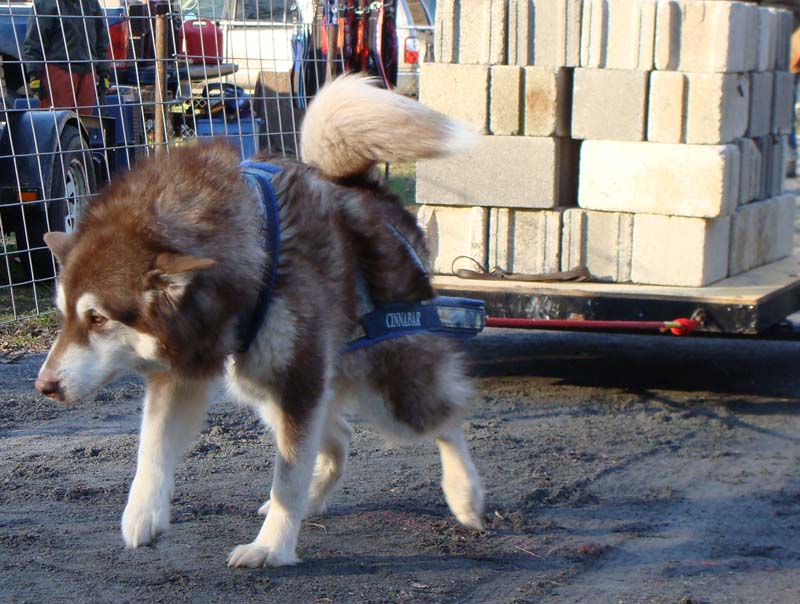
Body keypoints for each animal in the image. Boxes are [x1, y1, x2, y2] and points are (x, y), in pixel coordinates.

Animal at [34, 74, 484, 568]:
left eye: (97, 318)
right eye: (64, 316)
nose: (44, 385)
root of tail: (371, 193)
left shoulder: (298, 379)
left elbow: (288, 475)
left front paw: (272, 546)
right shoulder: (185, 367)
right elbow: (152, 446)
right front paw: (143, 512)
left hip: (384, 389)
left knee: (447, 418)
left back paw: (465, 495)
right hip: (262, 384)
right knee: (339, 435)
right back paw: (316, 499)